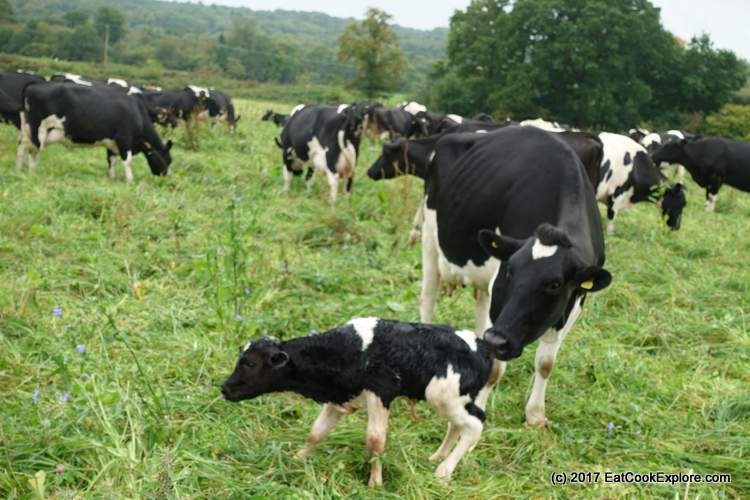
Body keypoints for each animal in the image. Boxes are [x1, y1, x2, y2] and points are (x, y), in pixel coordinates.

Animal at [17, 82, 173, 181]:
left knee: (22, 147)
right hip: (38, 129)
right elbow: (127, 161)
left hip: (26, 128)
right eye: (168, 160)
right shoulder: (124, 138)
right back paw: (31, 172)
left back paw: (18, 169)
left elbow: (111, 160)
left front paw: (112, 178)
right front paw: (130, 180)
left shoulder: (112, 141)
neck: (137, 111)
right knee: (32, 150)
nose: (164, 176)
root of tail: (33, 85)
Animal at [221, 318, 497, 485]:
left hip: (445, 397)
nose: (224, 388)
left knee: (475, 424)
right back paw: (437, 457)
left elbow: (375, 440)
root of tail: (480, 345)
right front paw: (297, 459)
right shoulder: (340, 397)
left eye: (250, 363)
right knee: (457, 425)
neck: (350, 350)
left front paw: (375, 482)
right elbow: (316, 432)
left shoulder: (380, 392)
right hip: (453, 402)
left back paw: (443, 471)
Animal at [415, 125, 612, 426]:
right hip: (429, 238)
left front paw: (535, 415)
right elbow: (496, 368)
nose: (498, 340)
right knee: (428, 298)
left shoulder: (575, 301)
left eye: (554, 285)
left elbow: (546, 362)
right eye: (510, 272)